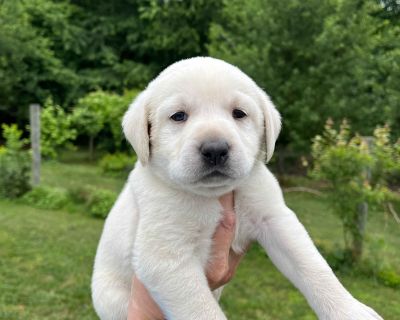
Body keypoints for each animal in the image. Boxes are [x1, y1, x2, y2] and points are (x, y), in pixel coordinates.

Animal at [92, 57, 382, 320]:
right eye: (178, 116)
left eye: (239, 113)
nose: (215, 149)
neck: (212, 195)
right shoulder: (165, 256)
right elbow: (201, 310)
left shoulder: (275, 219)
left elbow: (313, 265)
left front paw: (350, 310)